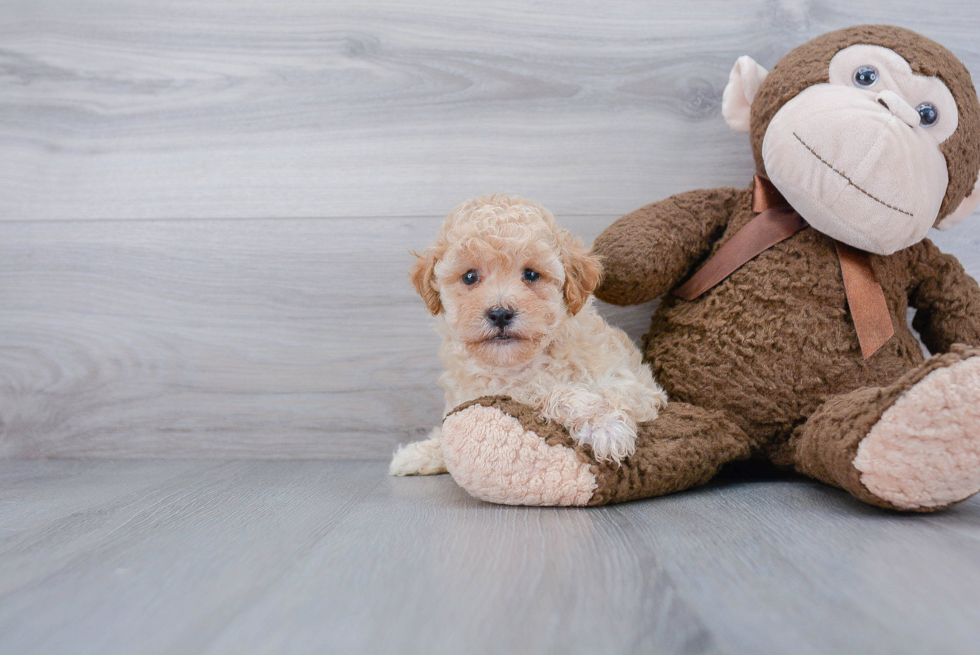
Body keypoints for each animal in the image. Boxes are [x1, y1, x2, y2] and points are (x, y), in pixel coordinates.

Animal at [388, 195, 668, 476]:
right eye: (469, 276)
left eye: (531, 274)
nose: (500, 313)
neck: (517, 365)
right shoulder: (472, 394)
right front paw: (416, 454)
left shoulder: (638, 387)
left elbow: (579, 392)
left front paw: (606, 428)